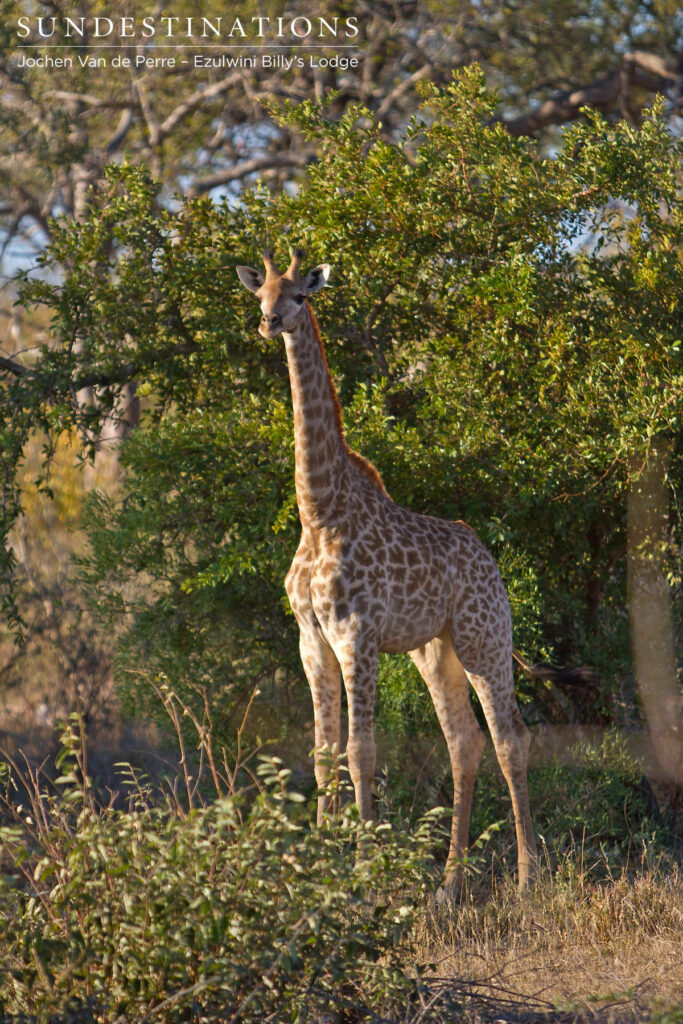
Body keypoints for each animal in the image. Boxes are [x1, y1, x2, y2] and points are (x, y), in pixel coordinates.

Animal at [236, 248, 537, 888]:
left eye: (301, 295)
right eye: (261, 294)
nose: (271, 322)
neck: (319, 510)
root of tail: (489, 559)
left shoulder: (358, 634)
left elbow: (360, 752)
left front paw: (361, 868)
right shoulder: (311, 639)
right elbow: (322, 753)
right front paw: (318, 863)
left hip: (485, 637)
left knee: (509, 738)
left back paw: (529, 878)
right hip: (435, 649)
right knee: (464, 741)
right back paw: (449, 884)